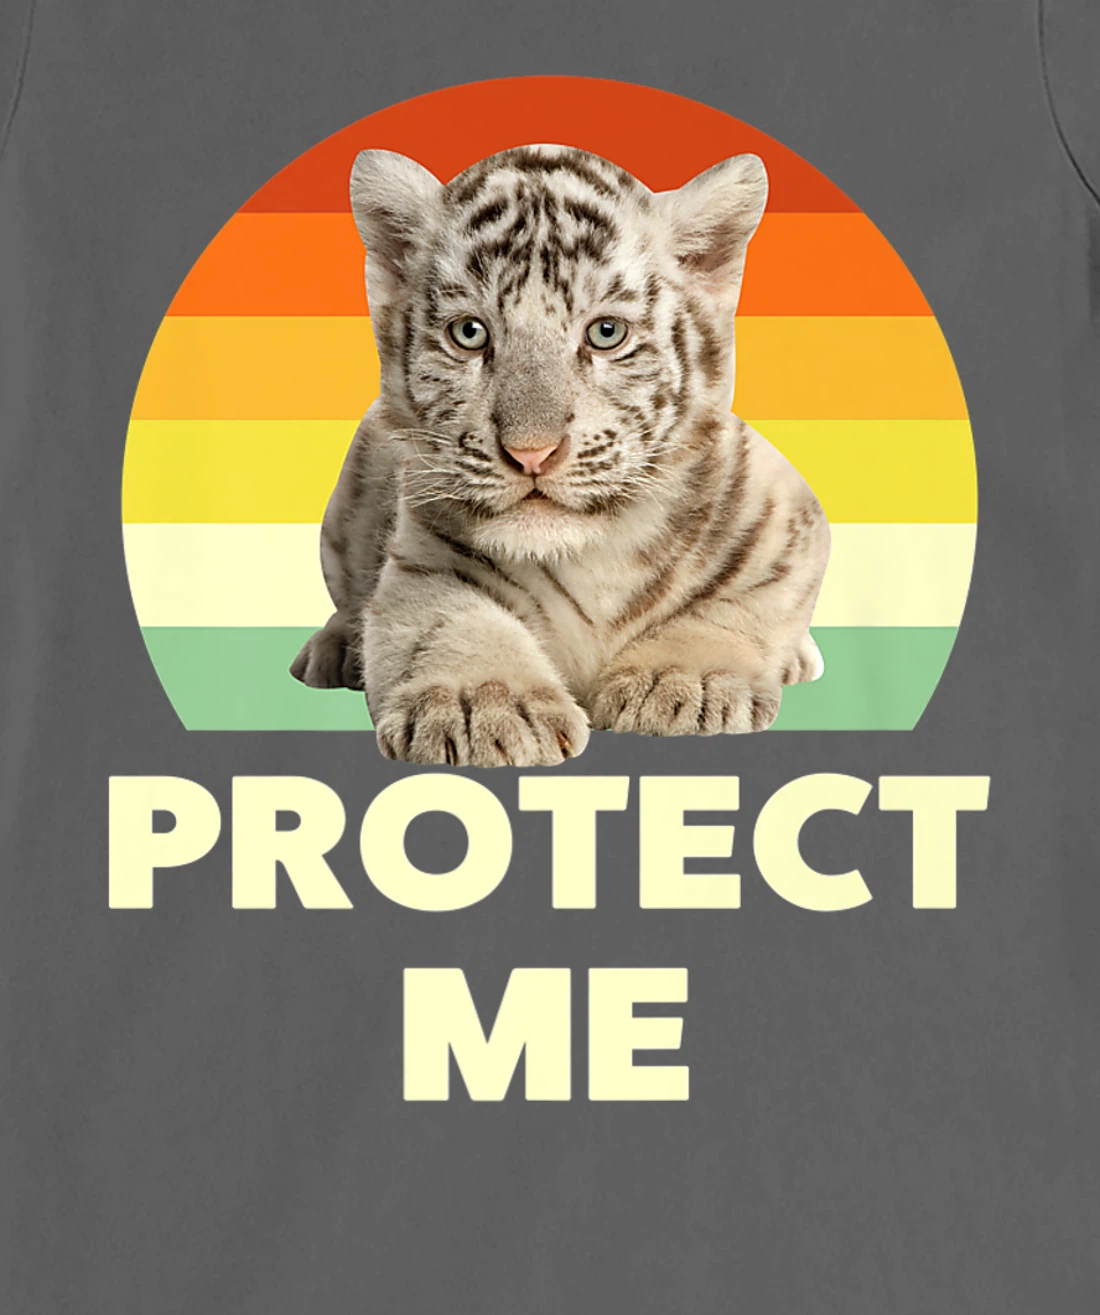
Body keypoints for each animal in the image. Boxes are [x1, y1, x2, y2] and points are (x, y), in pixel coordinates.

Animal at [290, 141, 831, 767]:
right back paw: (329, 652)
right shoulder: (422, 563)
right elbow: (450, 624)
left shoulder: (791, 520)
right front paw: (481, 707)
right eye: (469, 333)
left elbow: (744, 605)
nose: (531, 453)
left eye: (605, 333)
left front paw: (680, 682)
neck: (592, 550)